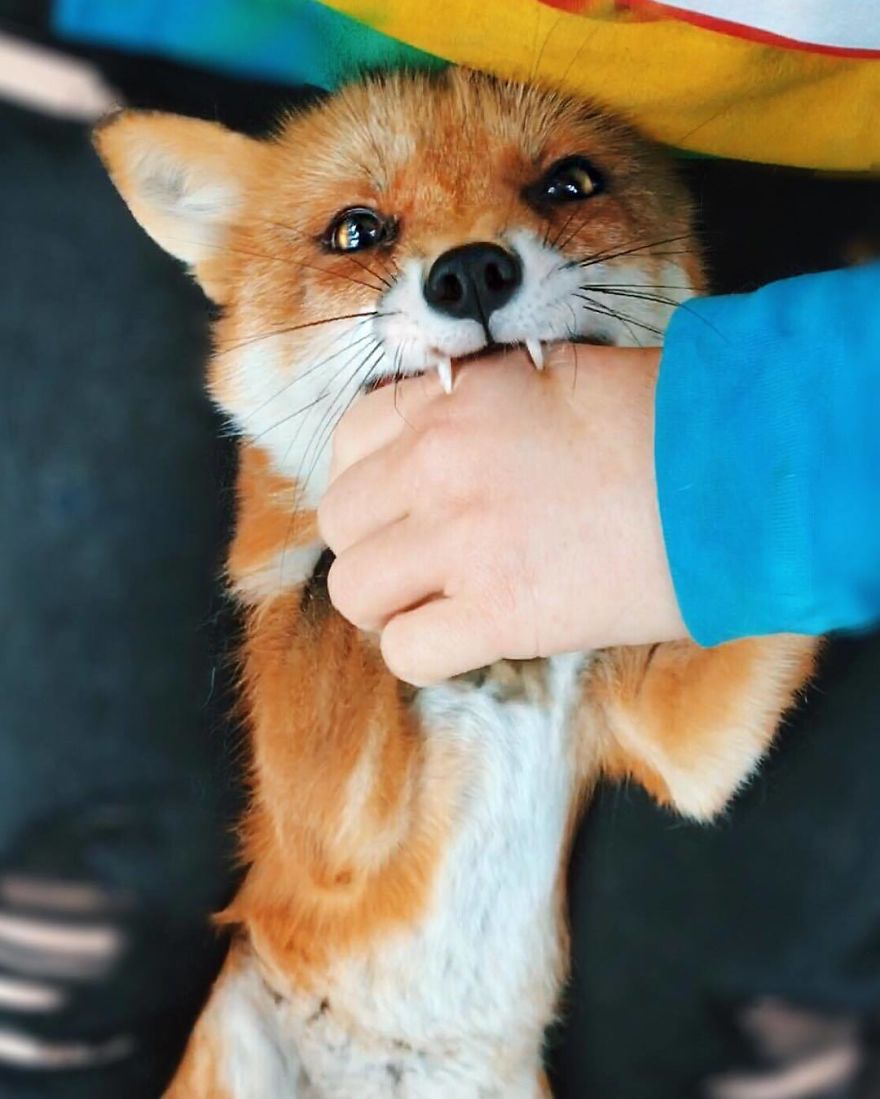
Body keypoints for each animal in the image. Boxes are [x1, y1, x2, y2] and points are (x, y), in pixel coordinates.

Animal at [95, 68, 816, 1099]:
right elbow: (323, 595)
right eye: (357, 230)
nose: (471, 272)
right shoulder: (325, 834)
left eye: (568, 184)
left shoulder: (680, 743)